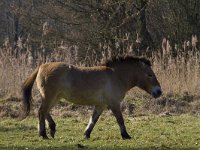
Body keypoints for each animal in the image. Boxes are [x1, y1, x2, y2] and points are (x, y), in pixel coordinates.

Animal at [21, 54, 162, 139]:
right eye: (150, 75)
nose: (159, 92)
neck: (116, 76)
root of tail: (41, 66)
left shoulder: (101, 105)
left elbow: (93, 119)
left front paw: (86, 134)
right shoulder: (114, 103)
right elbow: (120, 120)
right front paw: (126, 135)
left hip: (55, 97)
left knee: (45, 112)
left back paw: (52, 129)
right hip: (50, 96)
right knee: (41, 112)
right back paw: (43, 134)